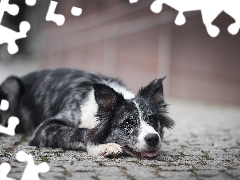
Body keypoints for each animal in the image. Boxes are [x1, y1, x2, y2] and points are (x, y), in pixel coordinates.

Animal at [0, 68, 174, 158]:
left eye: (153, 119)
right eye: (128, 122)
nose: (153, 139)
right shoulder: (44, 129)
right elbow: (80, 131)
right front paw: (103, 147)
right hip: (12, 85)